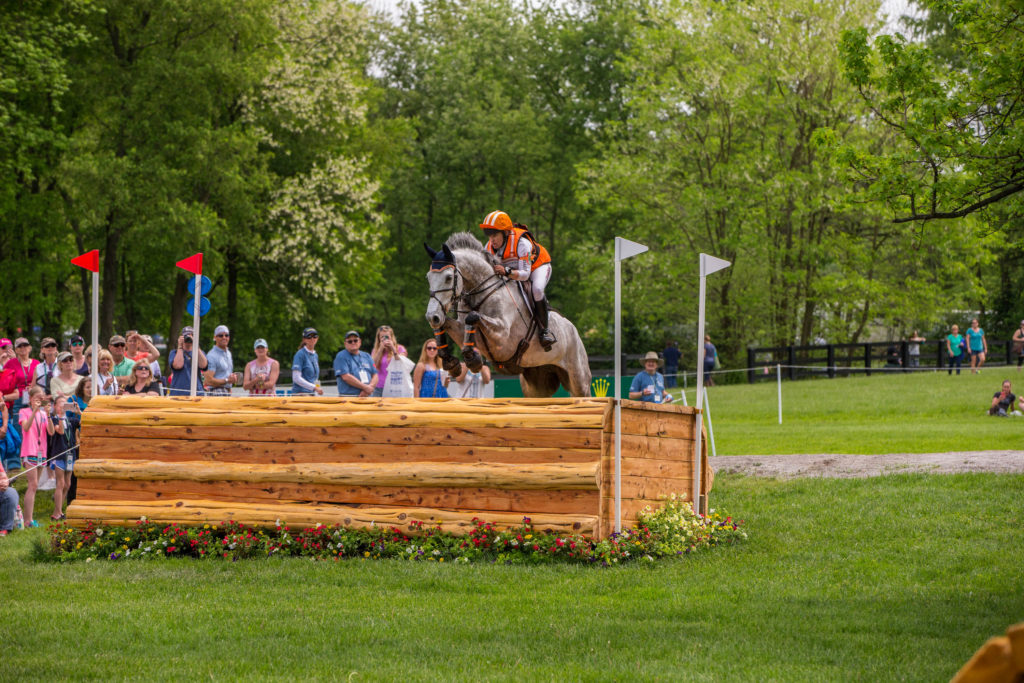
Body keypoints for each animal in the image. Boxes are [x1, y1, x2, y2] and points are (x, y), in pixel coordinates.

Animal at [424, 232, 592, 397]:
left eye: (448, 277)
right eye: (428, 277)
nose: (432, 316)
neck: (483, 291)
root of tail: (574, 331)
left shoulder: (502, 338)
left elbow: (472, 317)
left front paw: (472, 359)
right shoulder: (464, 331)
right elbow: (448, 323)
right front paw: (451, 362)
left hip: (579, 380)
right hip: (536, 385)